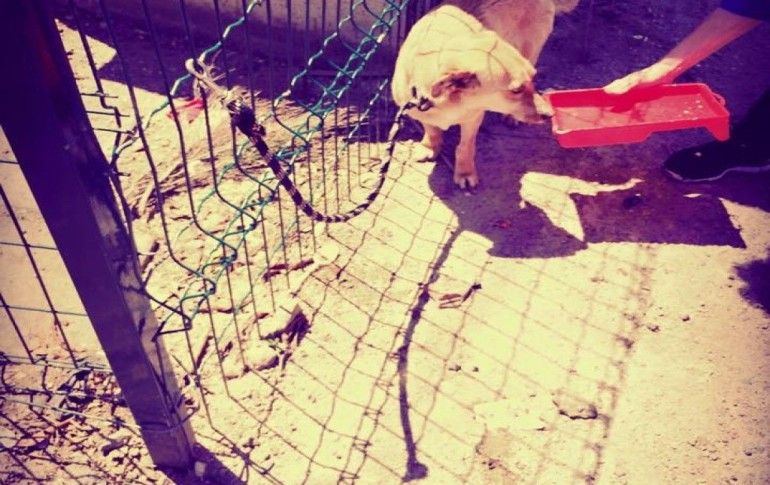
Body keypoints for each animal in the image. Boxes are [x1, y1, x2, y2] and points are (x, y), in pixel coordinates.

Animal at [391, 0, 579, 188]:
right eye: (515, 90)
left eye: (532, 79)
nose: (550, 114)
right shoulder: (421, 113)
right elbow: (432, 130)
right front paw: (430, 147)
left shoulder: (473, 118)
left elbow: (465, 147)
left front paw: (465, 172)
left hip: (531, 50)